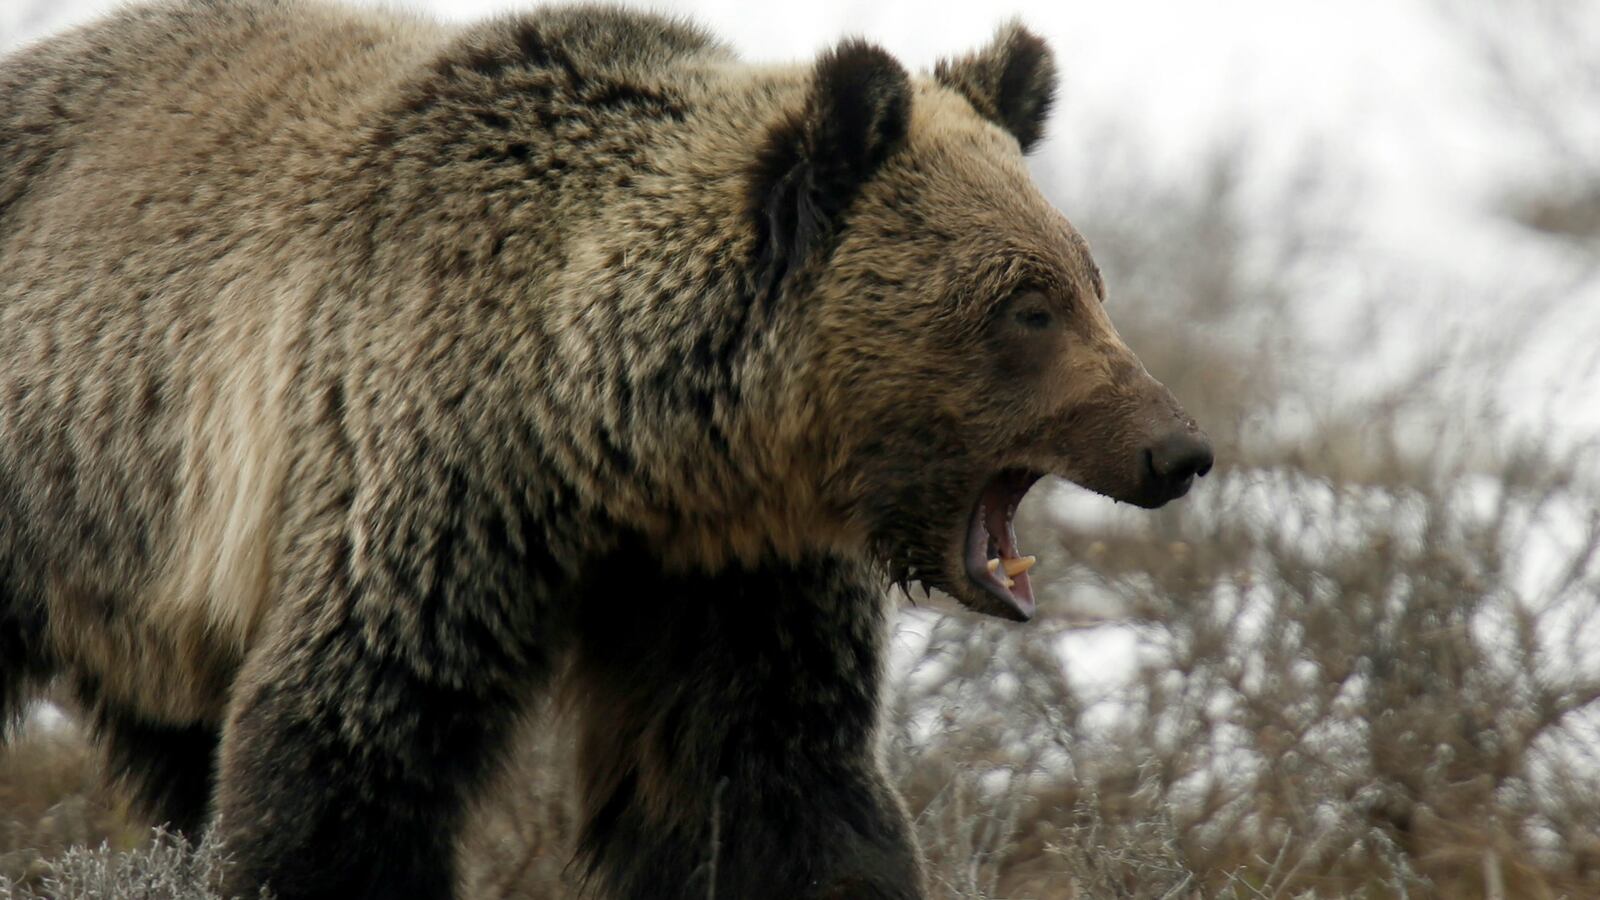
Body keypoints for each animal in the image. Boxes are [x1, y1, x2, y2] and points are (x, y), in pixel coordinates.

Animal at [0, 1, 1213, 898]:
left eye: (1088, 282)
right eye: (1027, 307)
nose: (1177, 448)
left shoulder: (729, 577)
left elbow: (771, 784)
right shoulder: (422, 490)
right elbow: (344, 752)